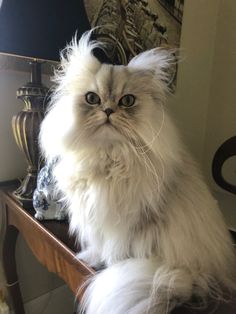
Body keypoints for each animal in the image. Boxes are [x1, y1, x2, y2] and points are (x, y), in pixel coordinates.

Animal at [40, 30, 236, 314]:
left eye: (127, 101)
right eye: (92, 99)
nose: (108, 111)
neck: (109, 158)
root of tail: (206, 275)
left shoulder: (127, 223)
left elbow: (115, 250)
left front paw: (110, 264)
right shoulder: (97, 220)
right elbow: (97, 246)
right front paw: (91, 258)